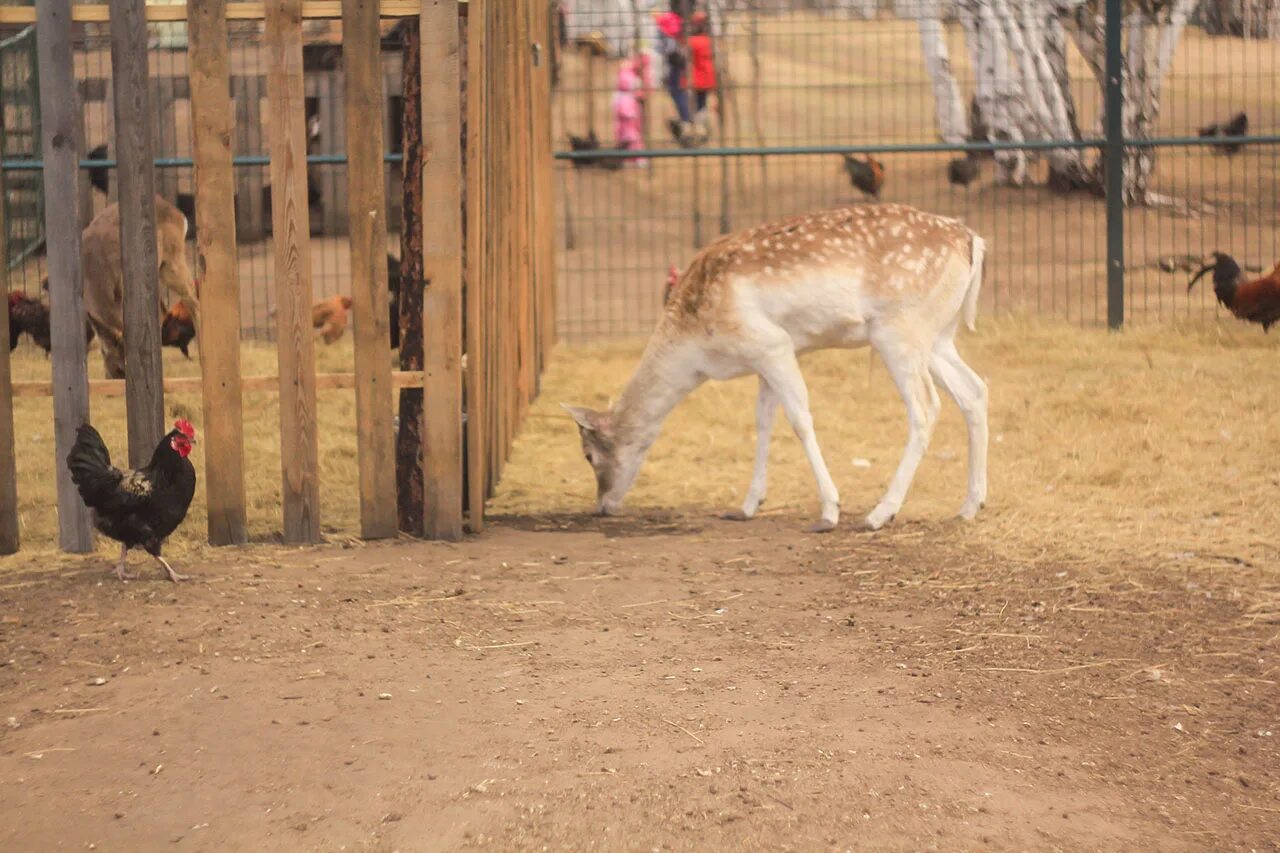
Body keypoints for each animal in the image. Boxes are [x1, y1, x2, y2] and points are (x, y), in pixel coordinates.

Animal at [563, 202, 988, 527]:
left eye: (588, 454)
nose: (602, 506)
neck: (697, 350)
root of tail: (972, 239)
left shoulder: (771, 344)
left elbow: (799, 419)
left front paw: (829, 511)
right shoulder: (767, 358)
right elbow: (764, 420)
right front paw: (748, 506)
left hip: (898, 330)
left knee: (926, 406)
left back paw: (879, 513)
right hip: (938, 336)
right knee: (975, 390)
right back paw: (970, 505)